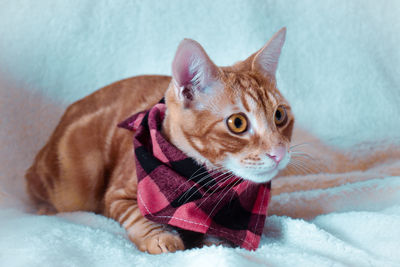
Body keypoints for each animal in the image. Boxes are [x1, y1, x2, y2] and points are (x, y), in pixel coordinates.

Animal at [25, 27, 400, 255]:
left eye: (280, 116)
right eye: (238, 123)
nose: (279, 153)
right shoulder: (118, 191)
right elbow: (134, 212)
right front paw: (160, 235)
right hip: (73, 180)